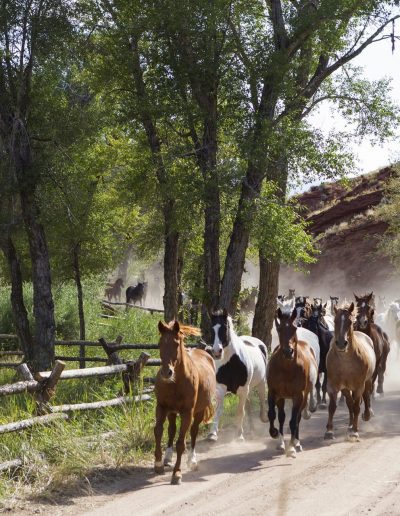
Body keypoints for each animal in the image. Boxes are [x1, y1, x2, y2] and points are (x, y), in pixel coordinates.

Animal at [154, 320, 216, 486]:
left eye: (176, 343)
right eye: (160, 343)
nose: (166, 372)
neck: (176, 381)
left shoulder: (187, 413)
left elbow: (181, 443)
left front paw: (177, 474)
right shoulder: (161, 407)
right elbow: (158, 431)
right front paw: (158, 464)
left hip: (198, 412)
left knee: (193, 432)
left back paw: (192, 461)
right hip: (172, 412)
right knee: (171, 430)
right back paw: (167, 458)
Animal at [206, 308, 268, 442]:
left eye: (225, 328)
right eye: (211, 329)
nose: (217, 352)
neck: (231, 364)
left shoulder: (243, 389)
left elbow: (240, 412)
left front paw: (239, 435)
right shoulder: (221, 388)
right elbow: (218, 411)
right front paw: (212, 434)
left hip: (260, 383)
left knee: (261, 398)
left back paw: (263, 418)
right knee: (249, 406)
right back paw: (252, 430)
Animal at [268, 306, 318, 456]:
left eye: (294, 329)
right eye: (279, 329)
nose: (288, 351)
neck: (286, 368)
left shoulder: (298, 395)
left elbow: (293, 421)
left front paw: (291, 447)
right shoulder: (274, 392)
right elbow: (273, 415)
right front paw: (274, 433)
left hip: (304, 396)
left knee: (298, 418)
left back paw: (296, 443)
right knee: (282, 417)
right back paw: (282, 443)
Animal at [324, 304, 376, 442]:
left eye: (350, 322)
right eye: (335, 321)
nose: (342, 343)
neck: (345, 361)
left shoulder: (359, 386)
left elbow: (357, 406)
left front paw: (355, 432)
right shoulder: (333, 385)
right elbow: (332, 407)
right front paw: (329, 431)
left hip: (367, 381)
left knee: (366, 395)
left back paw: (366, 415)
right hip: (346, 388)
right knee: (349, 404)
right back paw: (350, 426)